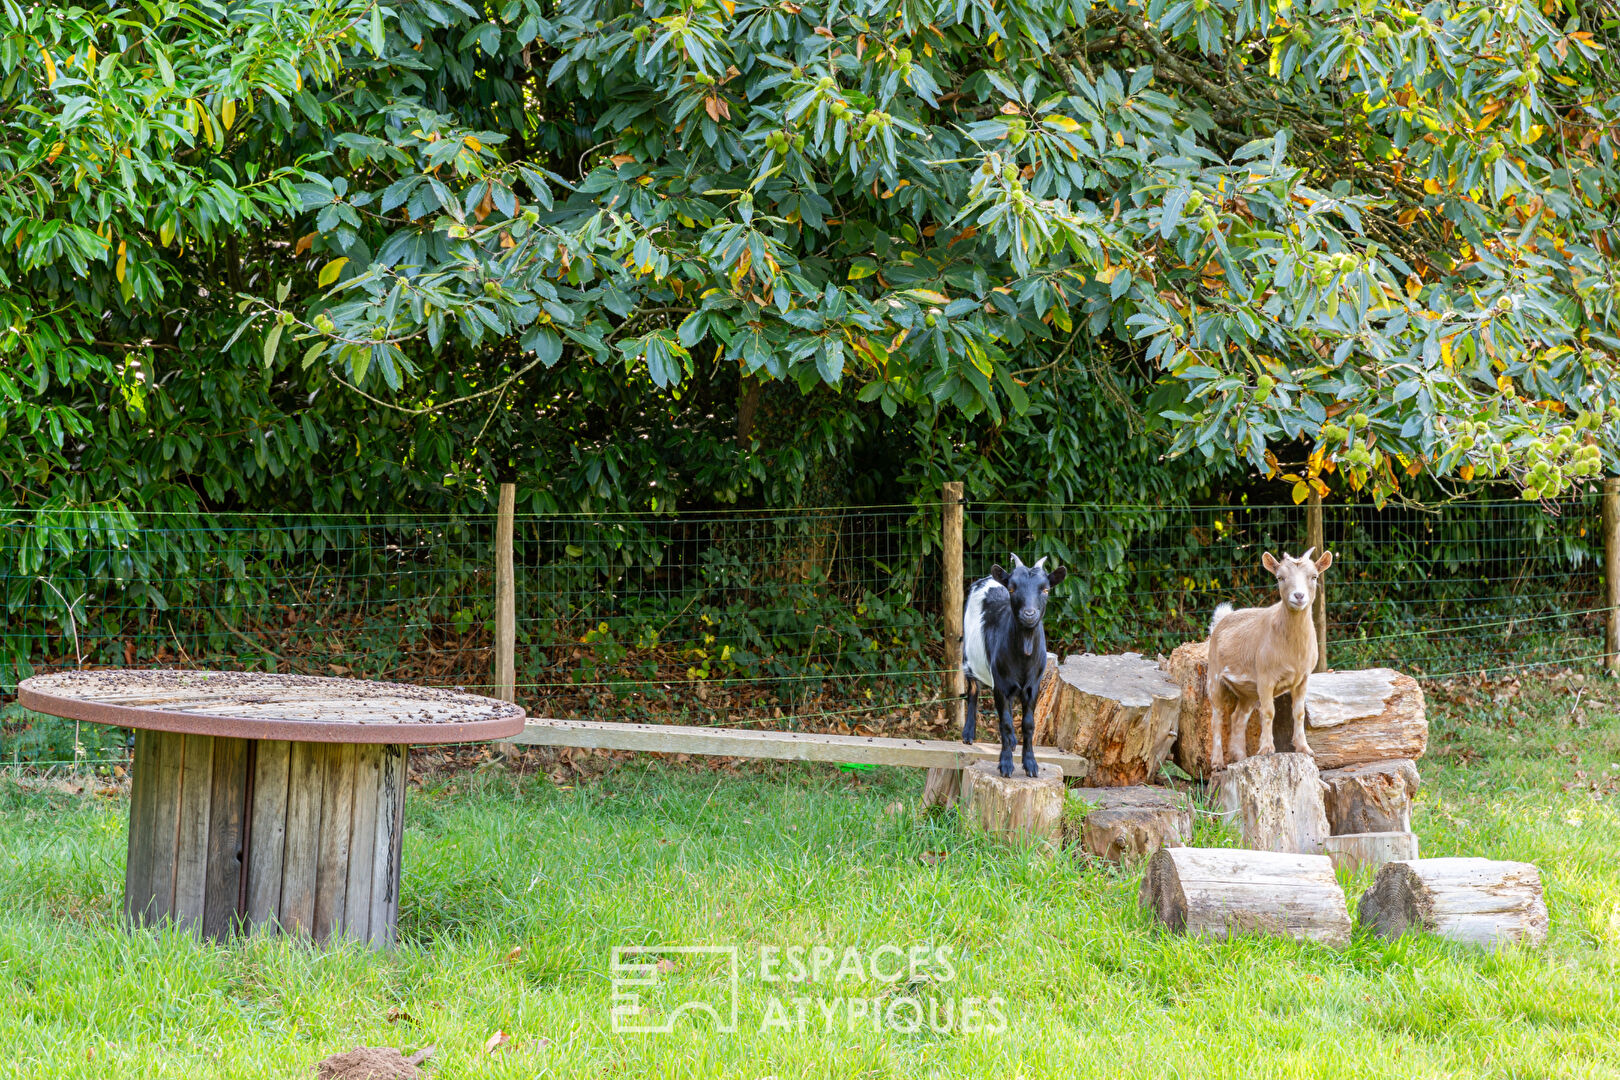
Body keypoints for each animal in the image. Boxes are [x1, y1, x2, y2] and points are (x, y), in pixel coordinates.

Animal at [959, 557, 1062, 777]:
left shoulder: (1033, 686)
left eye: (1045, 589)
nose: (1029, 613)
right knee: (973, 690)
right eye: (1013, 589)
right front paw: (1005, 764)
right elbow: (1005, 723)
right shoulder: (1000, 684)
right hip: (968, 659)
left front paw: (1031, 764)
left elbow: (1028, 724)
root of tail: (988, 579)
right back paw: (968, 733)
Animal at [1205, 550, 1328, 767]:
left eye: (1314, 576)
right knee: (1217, 717)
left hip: (1247, 692)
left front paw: (1305, 748)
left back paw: (1240, 757)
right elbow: (1268, 712)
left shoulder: (1303, 678)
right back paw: (1218, 762)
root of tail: (1221, 619)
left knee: (1238, 717)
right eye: (1280, 577)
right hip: (1214, 677)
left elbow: (1299, 713)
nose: (1298, 596)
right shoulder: (1265, 677)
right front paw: (1267, 749)